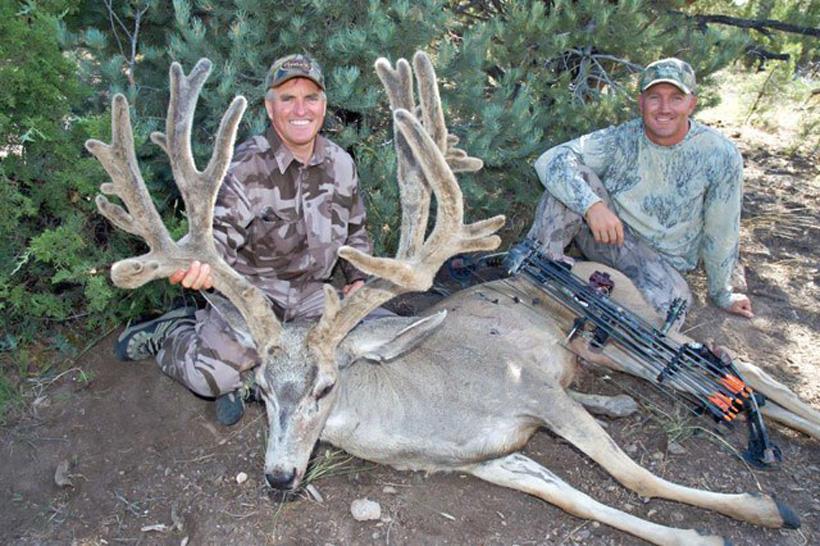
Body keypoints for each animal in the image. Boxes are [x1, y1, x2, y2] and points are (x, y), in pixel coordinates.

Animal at [86, 51, 820, 546]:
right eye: (262, 390)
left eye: (326, 386)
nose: (280, 477)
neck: (427, 416)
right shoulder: (492, 458)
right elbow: (576, 500)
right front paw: (697, 533)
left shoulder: (535, 391)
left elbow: (631, 476)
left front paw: (760, 510)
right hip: (604, 348)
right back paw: (624, 401)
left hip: (642, 318)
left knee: (743, 369)